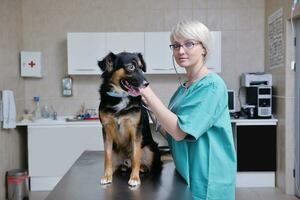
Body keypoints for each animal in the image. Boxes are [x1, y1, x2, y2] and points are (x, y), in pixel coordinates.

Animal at [98, 51, 162, 186]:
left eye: (141, 67)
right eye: (131, 67)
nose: (146, 84)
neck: (121, 96)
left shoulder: (136, 129)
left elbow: (136, 155)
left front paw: (135, 178)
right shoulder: (106, 129)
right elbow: (107, 156)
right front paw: (106, 176)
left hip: (150, 148)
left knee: (148, 165)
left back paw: (141, 168)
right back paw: (123, 167)